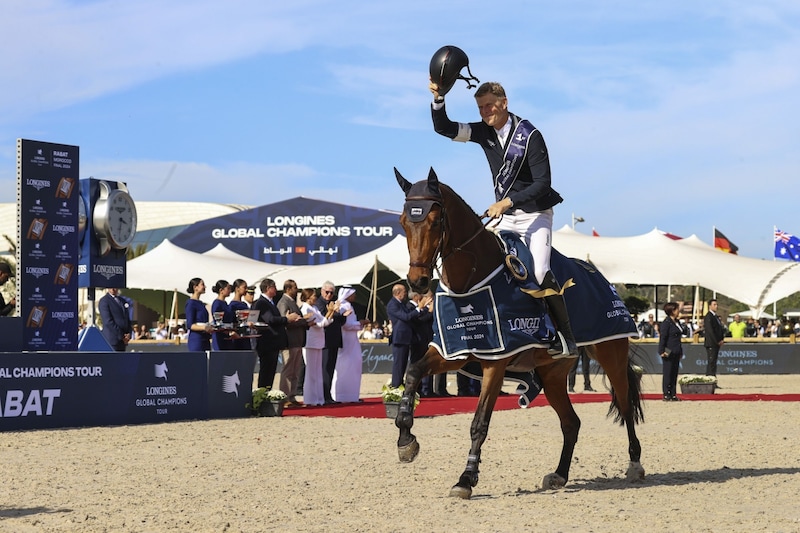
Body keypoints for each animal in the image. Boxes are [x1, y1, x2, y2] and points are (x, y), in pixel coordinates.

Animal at [392, 168, 644, 496]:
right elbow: (412, 372)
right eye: (403, 221)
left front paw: (466, 478)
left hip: (611, 354)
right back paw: (559, 475)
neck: (470, 279)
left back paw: (635, 464)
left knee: (625, 406)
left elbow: (479, 423)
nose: (418, 282)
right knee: (571, 423)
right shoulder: (455, 352)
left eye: (435, 221)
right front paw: (405, 440)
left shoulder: (496, 362)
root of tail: (601, 278)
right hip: (552, 375)